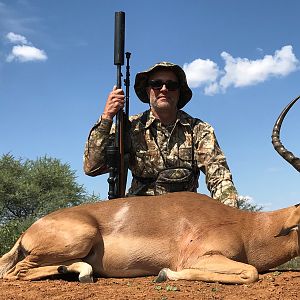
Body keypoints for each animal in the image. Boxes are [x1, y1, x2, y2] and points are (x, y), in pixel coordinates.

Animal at [0, 97, 298, 284]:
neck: (247, 228)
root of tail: (29, 230)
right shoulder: (201, 257)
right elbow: (251, 272)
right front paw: (165, 274)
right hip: (79, 237)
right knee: (16, 272)